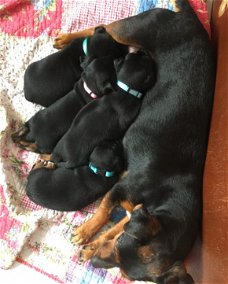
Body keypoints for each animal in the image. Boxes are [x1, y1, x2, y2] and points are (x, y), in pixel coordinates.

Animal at [53, 1, 216, 282]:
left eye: (126, 274)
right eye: (119, 248)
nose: (94, 263)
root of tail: (190, 20)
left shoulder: (134, 213)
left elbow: (112, 227)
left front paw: (92, 246)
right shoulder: (120, 190)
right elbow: (102, 214)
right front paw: (86, 231)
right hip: (136, 28)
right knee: (103, 27)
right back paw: (66, 39)